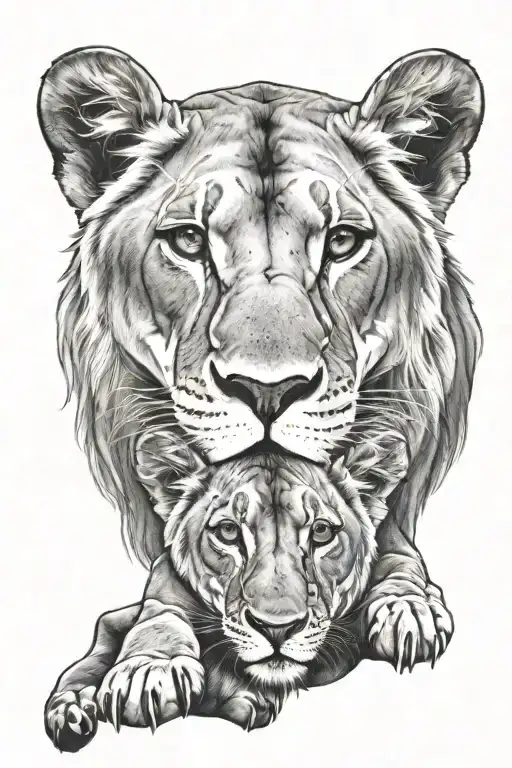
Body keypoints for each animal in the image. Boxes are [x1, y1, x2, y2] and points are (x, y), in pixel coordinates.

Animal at [38, 46, 483, 749]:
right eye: (189, 241)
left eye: (341, 242)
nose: (268, 390)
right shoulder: (166, 580)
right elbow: (158, 614)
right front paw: (148, 667)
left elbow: (398, 558)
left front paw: (406, 608)